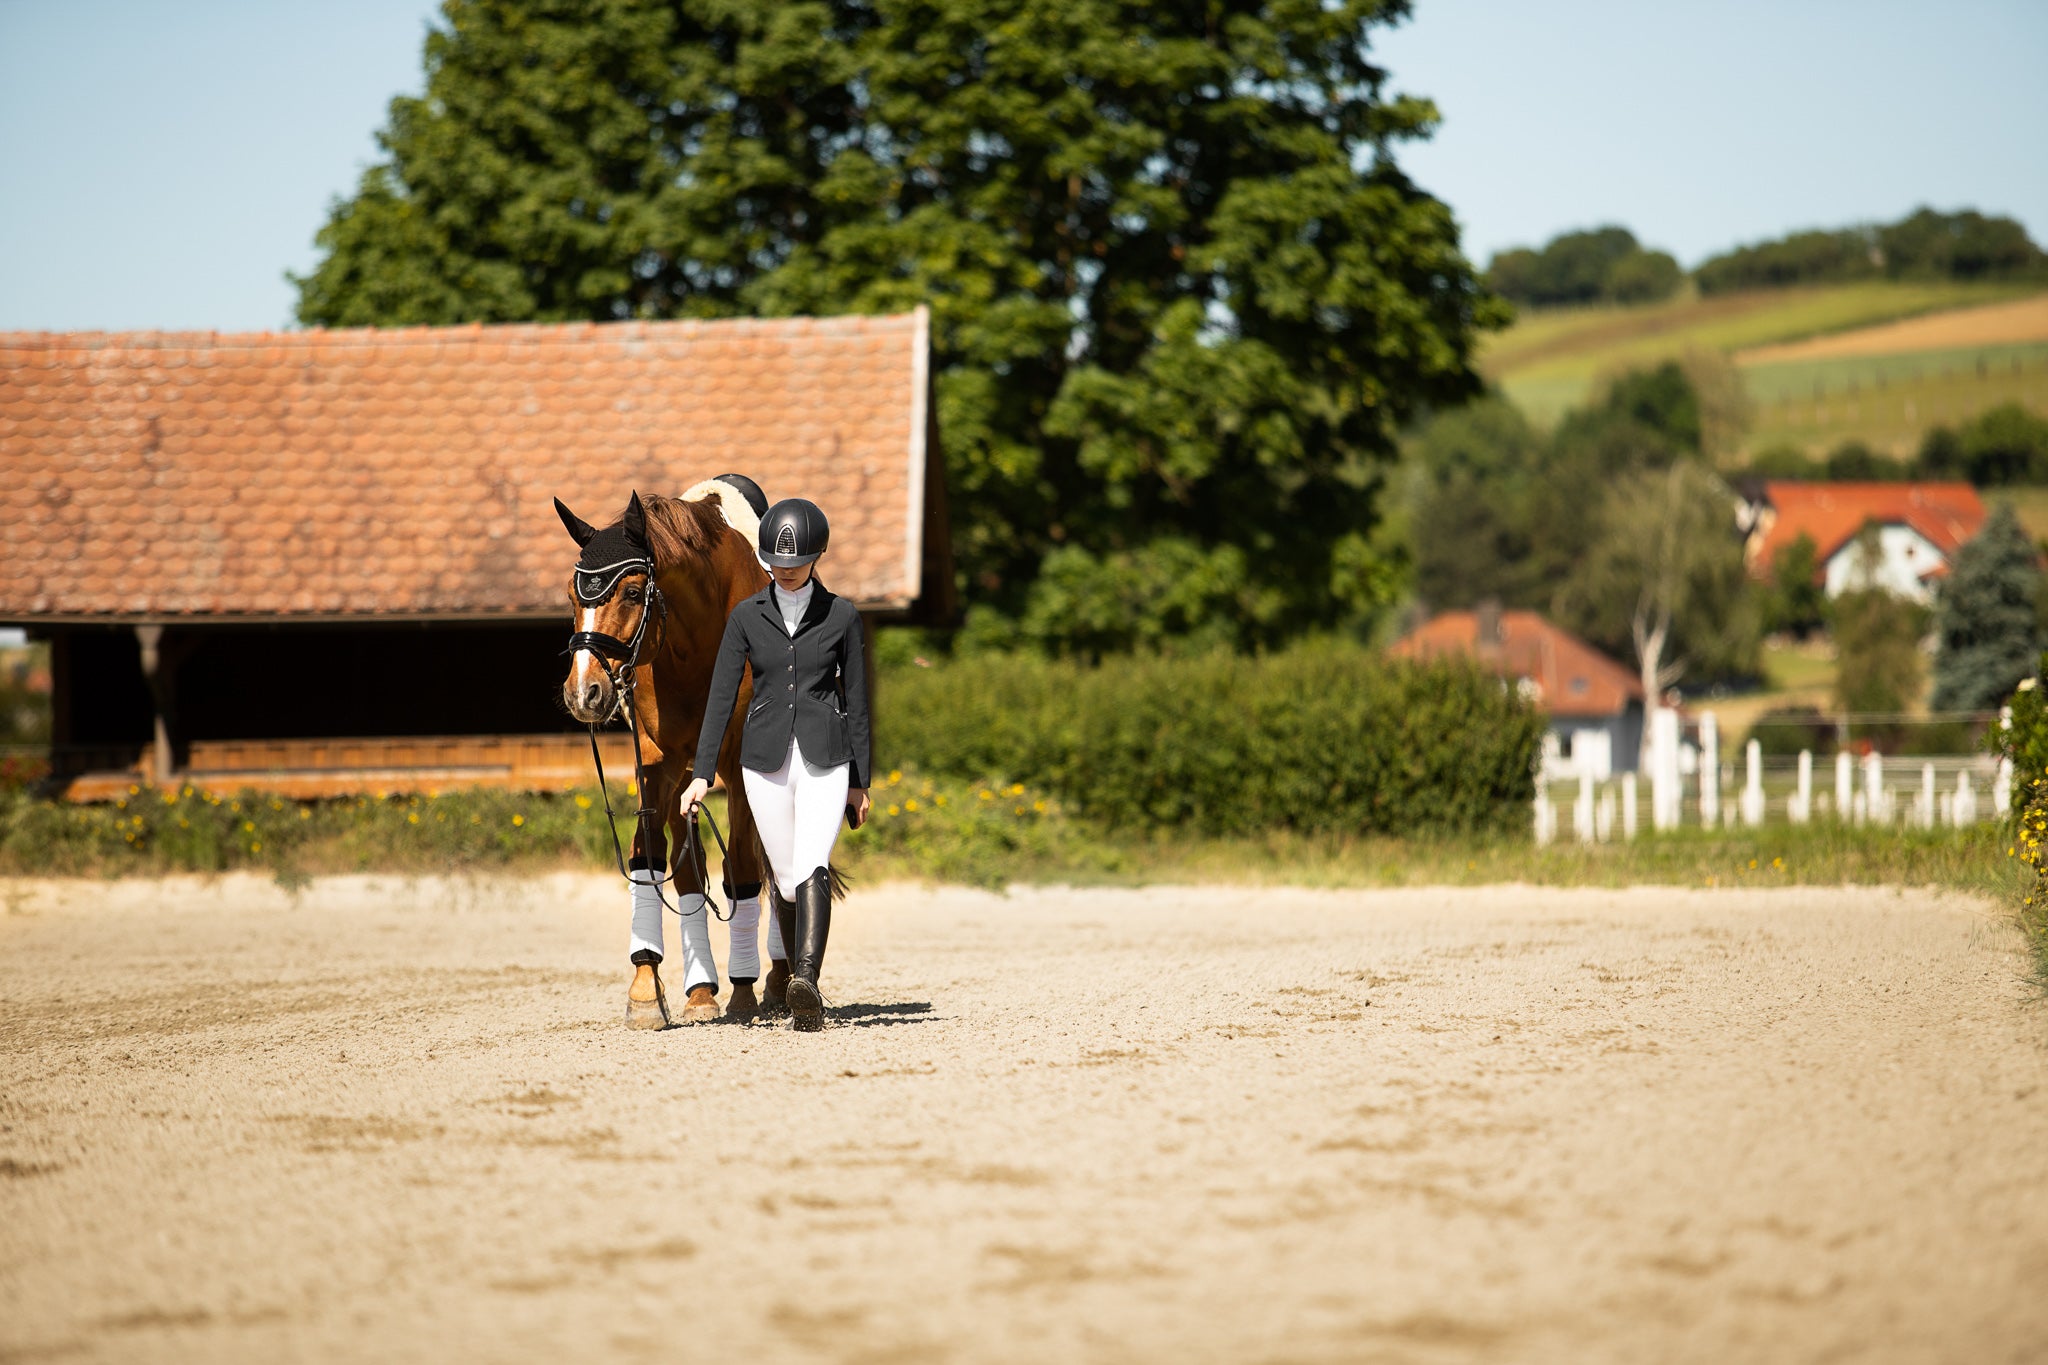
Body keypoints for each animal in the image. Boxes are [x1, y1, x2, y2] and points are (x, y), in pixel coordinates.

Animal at [556, 477, 778, 1027]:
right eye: (571, 594)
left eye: (634, 592)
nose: (584, 693)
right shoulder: (657, 765)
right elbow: (649, 858)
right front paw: (643, 989)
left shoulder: (738, 769)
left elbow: (744, 870)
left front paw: (746, 991)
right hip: (685, 783)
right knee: (689, 869)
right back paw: (700, 992)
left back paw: (778, 980)